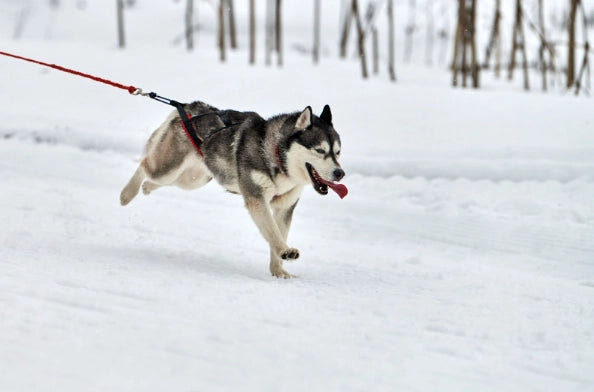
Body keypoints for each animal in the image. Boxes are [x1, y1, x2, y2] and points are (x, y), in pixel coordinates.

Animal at [118, 101, 344, 278]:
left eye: (338, 152)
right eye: (320, 150)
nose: (340, 173)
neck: (275, 156)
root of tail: (192, 106)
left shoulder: (284, 208)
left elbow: (278, 235)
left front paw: (278, 270)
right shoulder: (256, 199)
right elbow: (273, 233)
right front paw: (284, 251)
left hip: (194, 179)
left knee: (161, 179)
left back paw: (146, 187)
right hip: (169, 168)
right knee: (145, 165)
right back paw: (126, 195)